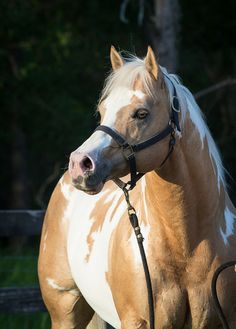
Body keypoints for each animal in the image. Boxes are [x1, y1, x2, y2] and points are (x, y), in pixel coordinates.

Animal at [37, 46, 235, 328]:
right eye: (102, 111)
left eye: (141, 113)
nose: (79, 164)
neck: (186, 246)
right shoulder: (138, 320)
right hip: (65, 311)